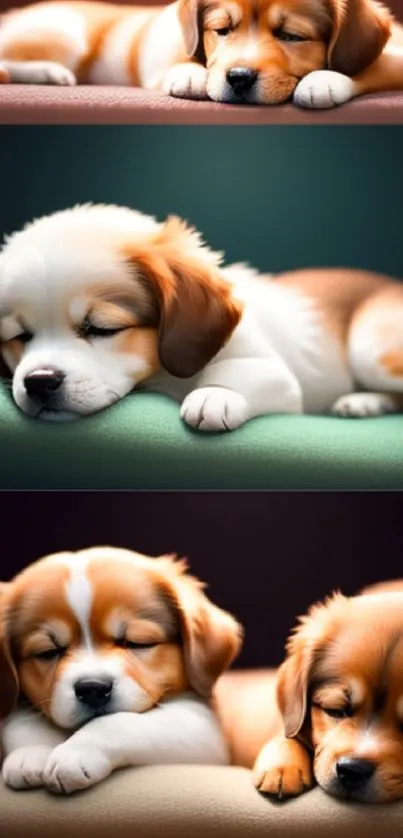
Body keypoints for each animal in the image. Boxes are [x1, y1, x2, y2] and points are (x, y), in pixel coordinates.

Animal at [0, 0, 402, 106]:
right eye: (221, 30)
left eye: (292, 36)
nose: (238, 79)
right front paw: (191, 74)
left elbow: (372, 66)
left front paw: (324, 81)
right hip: (63, 31)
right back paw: (50, 72)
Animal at [0, 203, 403, 430]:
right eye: (20, 336)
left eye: (101, 328)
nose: (38, 381)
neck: (164, 379)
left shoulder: (274, 373)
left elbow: (237, 374)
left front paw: (215, 396)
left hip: (368, 349)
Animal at [0, 548, 243, 796]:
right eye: (48, 652)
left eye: (137, 643)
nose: (93, 688)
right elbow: (22, 722)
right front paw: (32, 752)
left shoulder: (203, 730)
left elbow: (121, 722)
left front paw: (75, 753)